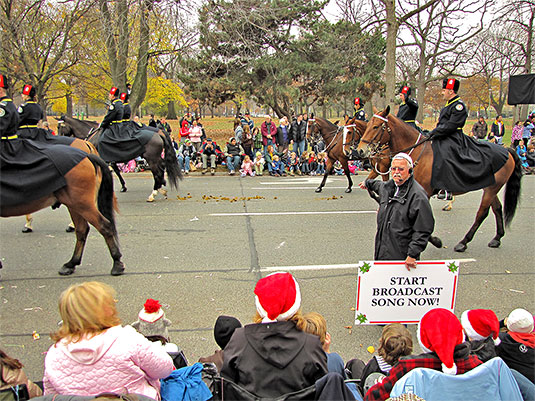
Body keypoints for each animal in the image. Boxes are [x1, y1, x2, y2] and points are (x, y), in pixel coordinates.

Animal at [356, 104, 524, 252]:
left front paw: (435, 241)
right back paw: (497, 238)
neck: (416, 152)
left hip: (491, 189)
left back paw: (463, 242)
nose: (360, 151)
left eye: (376, 127)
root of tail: (507, 150)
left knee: (482, 213)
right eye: (368, 125)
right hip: (490, 186)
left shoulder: (423, 191)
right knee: (497, 208)